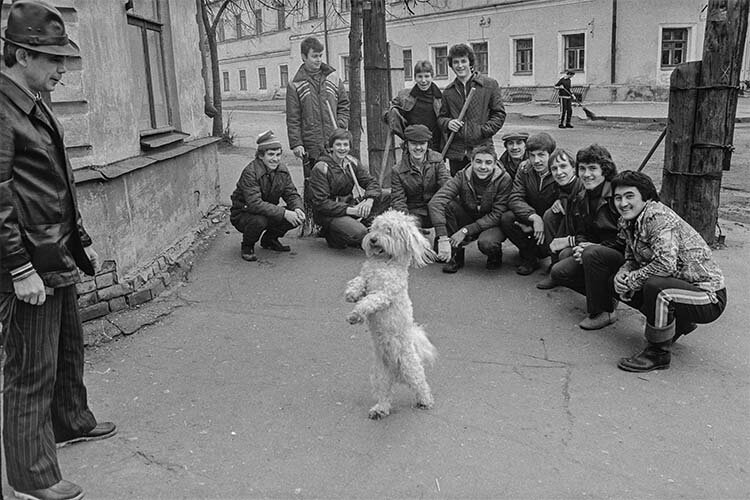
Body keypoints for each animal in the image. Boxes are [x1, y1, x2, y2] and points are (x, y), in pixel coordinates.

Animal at [348, 209, 440, 420]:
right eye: (374, 228)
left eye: (389, 230)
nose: (373, 239)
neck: (384, 262)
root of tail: (396, 372)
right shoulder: (366, 278)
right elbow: (359, 282)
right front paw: (351, 295)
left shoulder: (385, 293)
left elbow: (370, 301)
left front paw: (356, 314)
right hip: (380, 374)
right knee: (385, 394)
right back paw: (379, 410)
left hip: (410, 366)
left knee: (421, 384)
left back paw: (425, 401)